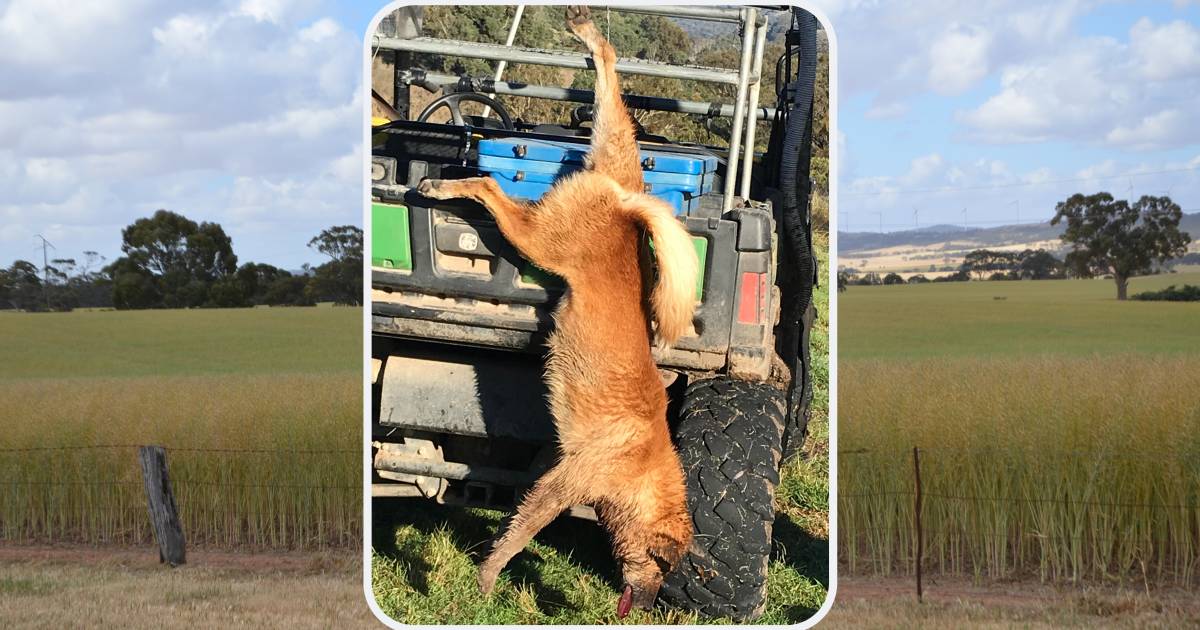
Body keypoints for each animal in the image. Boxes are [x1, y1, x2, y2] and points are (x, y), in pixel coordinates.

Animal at [417, 4, 700, 614]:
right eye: (662, 571)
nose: (649, 610)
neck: (642, 462)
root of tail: (626, 203)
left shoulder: (553, 469)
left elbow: (514, 515)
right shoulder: (564, 482)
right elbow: (519, 535)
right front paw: (486, 582)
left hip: (611, 148)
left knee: (610, 74)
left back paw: (586, 32)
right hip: (538, 241)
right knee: (487, 186)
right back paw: (438, 185)